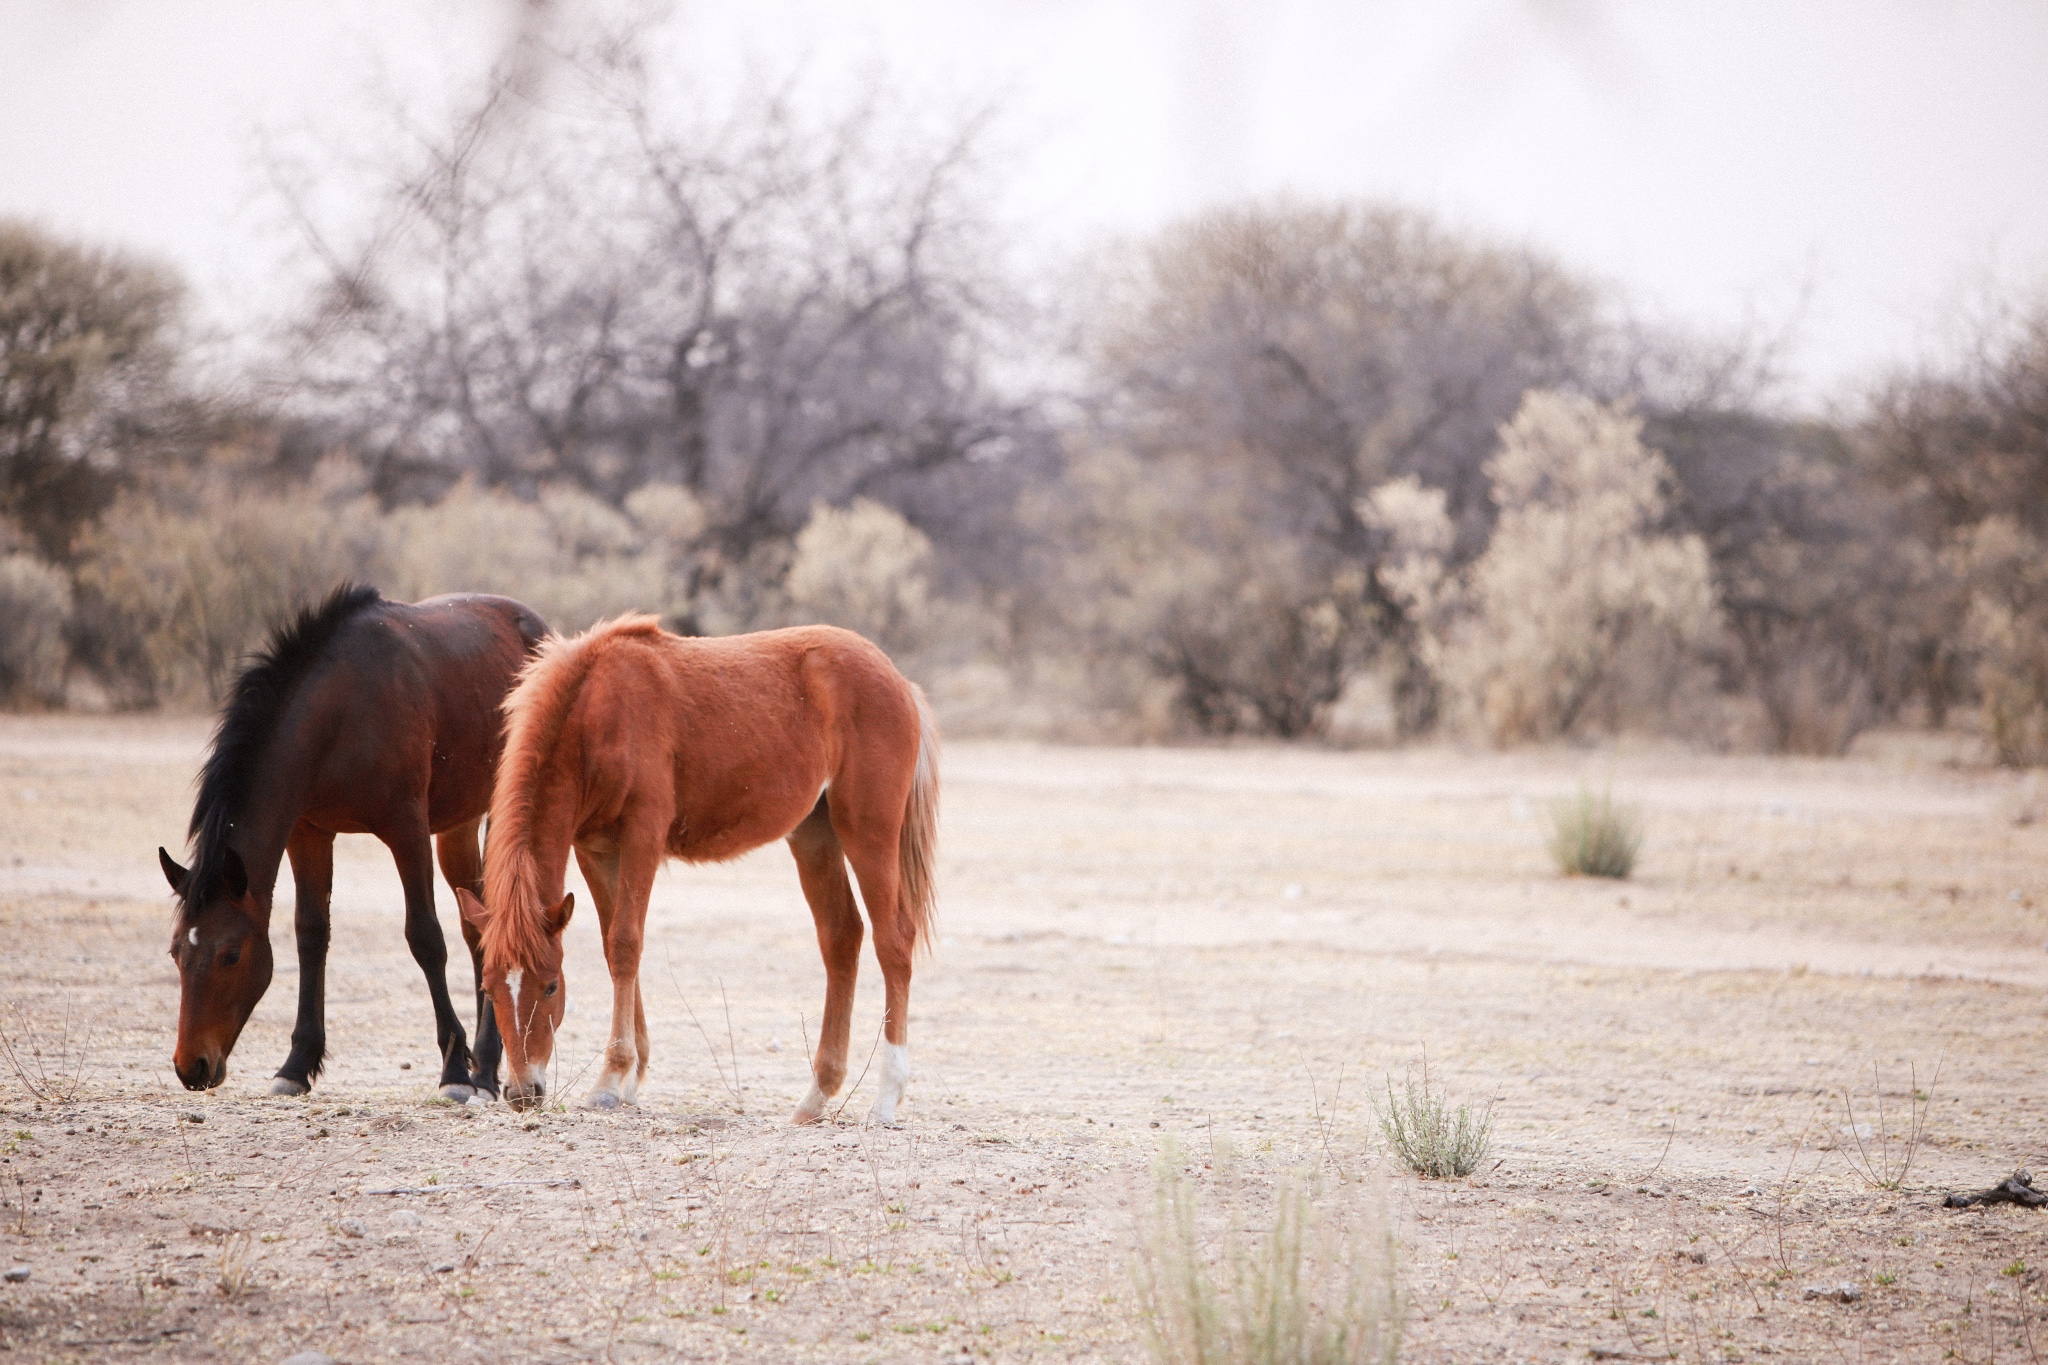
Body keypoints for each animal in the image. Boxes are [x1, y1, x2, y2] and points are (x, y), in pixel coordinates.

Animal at [160, 589, 548, 1096]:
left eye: (231, 955)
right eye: (176, 952)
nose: (191, 1067)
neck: (340, 710)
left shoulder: (406, 828)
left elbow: (425, 937)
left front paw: (454, 1069)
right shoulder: (308, 832)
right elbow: (311, 933)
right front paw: (296, 1064)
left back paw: (480, 1067)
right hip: (457, 828)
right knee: (478, 928)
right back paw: (487, 1067)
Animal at [454, 618, 937, 1121]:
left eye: (550, 986)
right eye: (489, 988)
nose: (522, 1092)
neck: (596, 711)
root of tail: (899, 681)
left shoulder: (642, 836)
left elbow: (625, 943)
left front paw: (610, 1079)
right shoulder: (594, 849)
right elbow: (611, 947)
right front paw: (629, 1080)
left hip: (868, 831)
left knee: (893, 941)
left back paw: (886, 1097)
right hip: (814, 836)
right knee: (842, 938)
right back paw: (816, 1096)